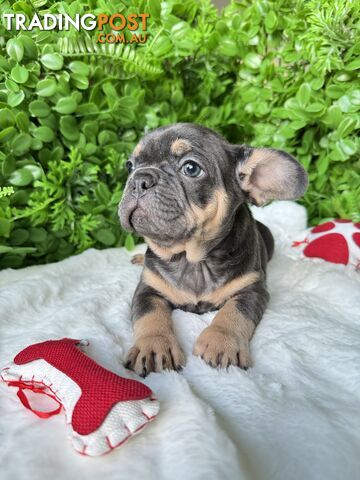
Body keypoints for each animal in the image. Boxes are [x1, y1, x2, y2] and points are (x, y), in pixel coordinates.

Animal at [119, 123, 306, 376]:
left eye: (191, 168)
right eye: (130, 165)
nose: (139, 179)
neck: (192, 259)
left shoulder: (252, 291)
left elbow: (234, 311)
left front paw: (222, 341)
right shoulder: (147, 289)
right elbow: (150, 315)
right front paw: (154, 345)